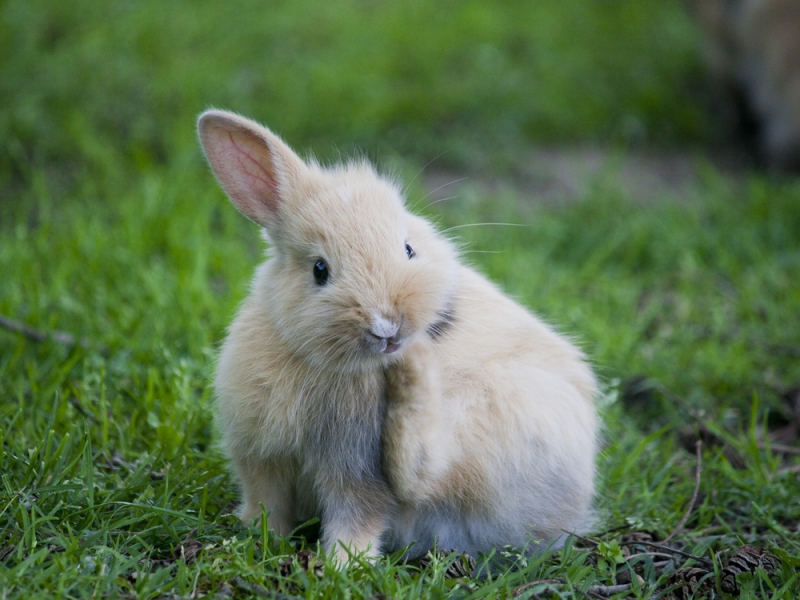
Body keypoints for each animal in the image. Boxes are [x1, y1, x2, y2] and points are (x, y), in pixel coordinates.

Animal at [197, 109, 596, 564]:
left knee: (423, 473)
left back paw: (415, 366)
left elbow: (360, 516)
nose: (388, 327)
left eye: (408, 249)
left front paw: (343, 566)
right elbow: (268, 505)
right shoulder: (261, 461)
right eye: (319, 270)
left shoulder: (355, 468)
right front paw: (257, 538)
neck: (320, 360)